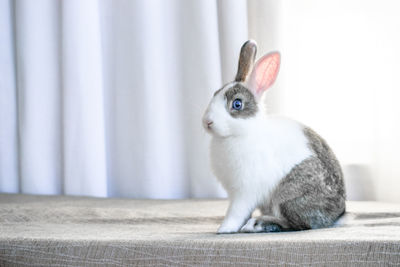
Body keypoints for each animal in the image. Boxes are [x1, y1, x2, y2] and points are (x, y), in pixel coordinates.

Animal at [202, 40, 346, 234]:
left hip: (288, 195)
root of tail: (338, 214)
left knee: (296, 224)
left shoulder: (245, 192)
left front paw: (224, 229)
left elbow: (236, 212)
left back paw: (256, 225)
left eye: (237, 104)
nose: (207, 122)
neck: (240, 133)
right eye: (214, 94)